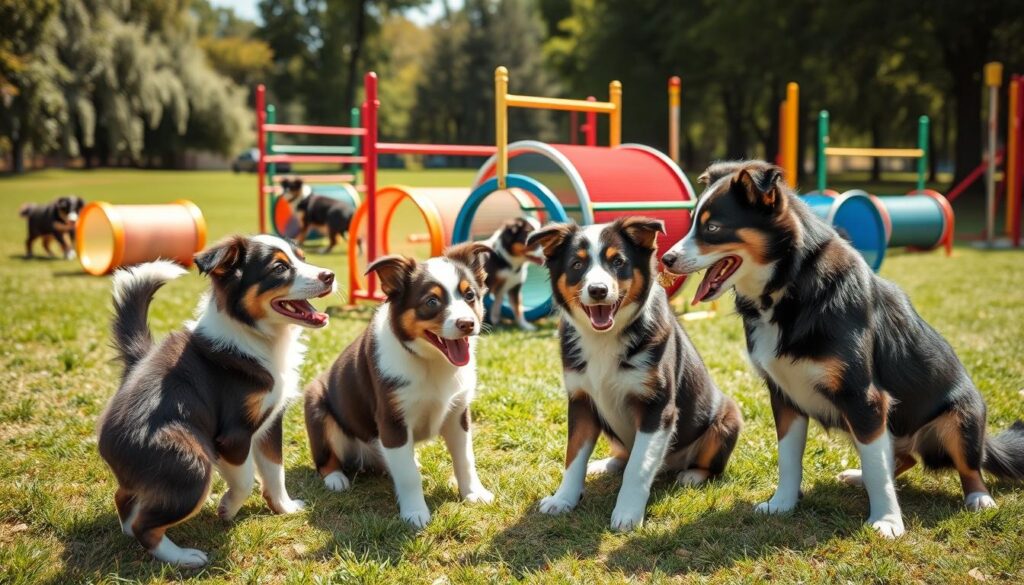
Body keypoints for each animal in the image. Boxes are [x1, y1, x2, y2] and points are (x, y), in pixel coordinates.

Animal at [96, 234, 335, 569]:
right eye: (279, 268)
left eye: (302, 258)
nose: (330, 275)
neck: (255, 336)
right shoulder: (233, 435)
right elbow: (246, 479)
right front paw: (227, 509)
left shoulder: (269, 421)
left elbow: (275, 470)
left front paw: (285, 508)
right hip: (191, 465)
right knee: (147, 526)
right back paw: (184, 557)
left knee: (125, 499)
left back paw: (131, 530)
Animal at [303, 241, 495, 524]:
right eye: (432, 301)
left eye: (469, 295)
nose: (467, 324)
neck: (430, 362)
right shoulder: (392, 420)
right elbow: (407, 475)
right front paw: (415, 513)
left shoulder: (458, 413)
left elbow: (465, 459)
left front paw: (474, 493)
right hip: (316, 405)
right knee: (325, 459)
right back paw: (336, 479)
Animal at [524, 217, 741, 532]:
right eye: (577, 265)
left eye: (618, 262)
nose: (598, 290)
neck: (604, 339)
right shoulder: (580, 400)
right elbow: (573, 456)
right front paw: (563, 499)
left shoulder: (657, 407)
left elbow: (639, 467)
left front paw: (627, 513)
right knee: (622, 456)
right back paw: (604, 464)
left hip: (729, 417)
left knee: (707, 465)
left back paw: (692, 475)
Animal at [655, 159, 1024, 540]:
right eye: (693, 221)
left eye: (712, 227)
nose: (665, 259)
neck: (789, 288)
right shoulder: (784, 395)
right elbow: (789, 459)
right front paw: (782, 503)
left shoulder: (865, 397)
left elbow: (878, 469)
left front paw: (887, 520)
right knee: (898, 457)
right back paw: (859, 476)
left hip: (960, 417)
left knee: (967, 465)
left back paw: (979, 498)